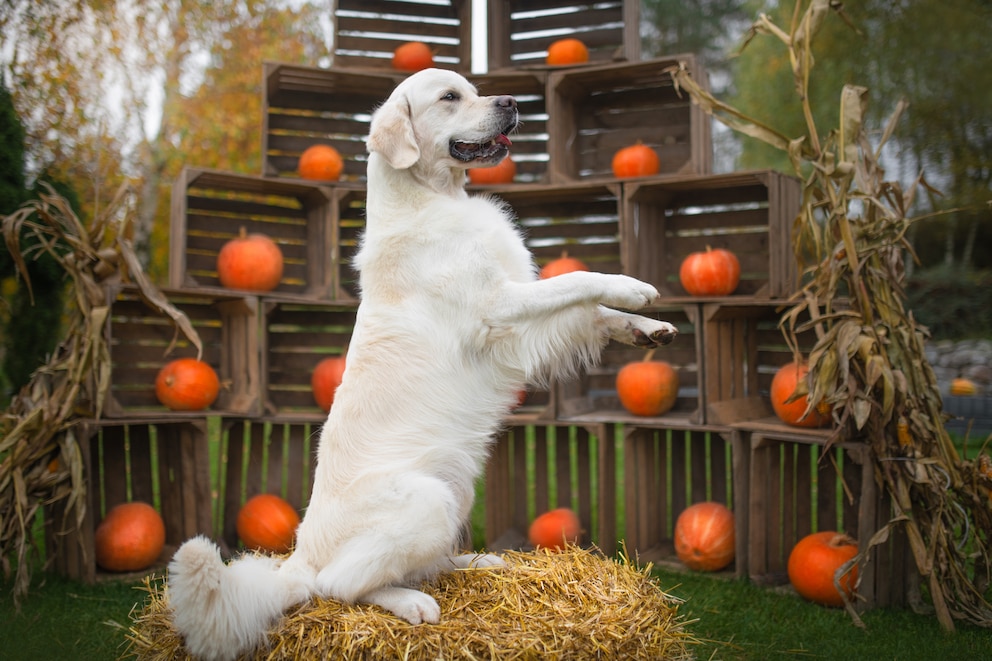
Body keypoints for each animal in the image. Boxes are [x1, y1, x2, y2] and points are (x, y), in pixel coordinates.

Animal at [167, 68, 680, 660]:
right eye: (449, 97)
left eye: (475, 89)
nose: (511, 102)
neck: (433, 198)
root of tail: (298, 557)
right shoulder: (499, 306)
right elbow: (577, 280)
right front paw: (633, 286)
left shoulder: (516, 320)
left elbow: (591, 311)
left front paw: (645, 328)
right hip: (427, 499)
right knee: (338, 584)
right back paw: (412, 602)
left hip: (456, 489)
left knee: (419, 563)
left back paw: (478, 560)